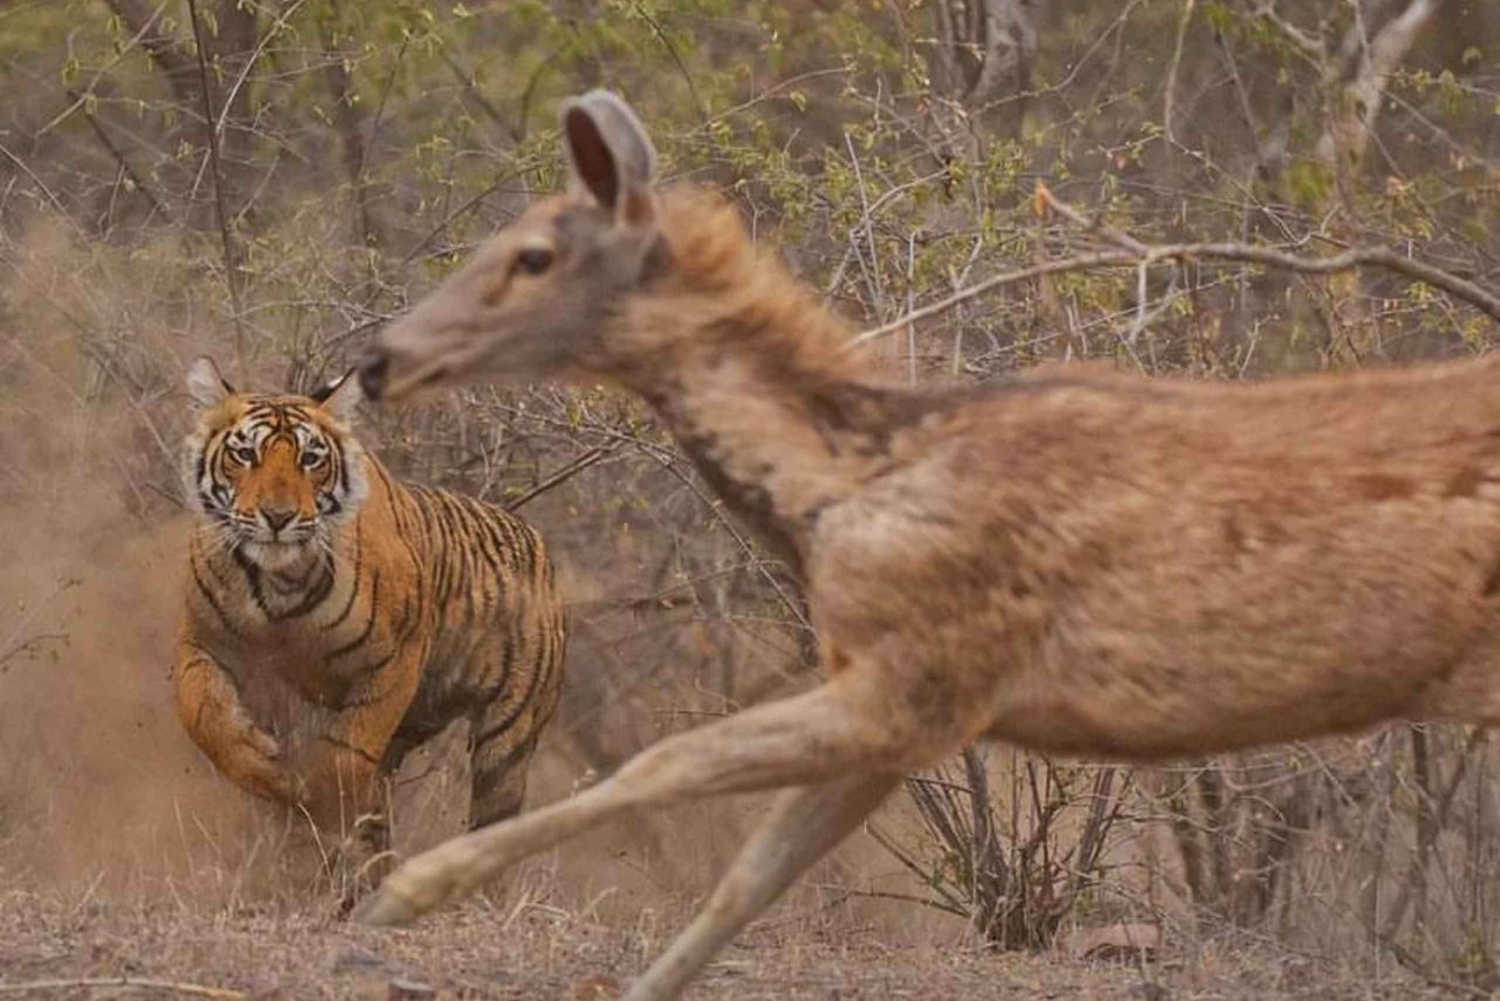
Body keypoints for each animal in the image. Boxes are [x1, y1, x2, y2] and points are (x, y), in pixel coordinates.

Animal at [174, 356, 566, 858]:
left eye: (310, 459)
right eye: (244, 455)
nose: (278, 517)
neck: (279, 583)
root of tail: (536, 540)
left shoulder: (396, 660)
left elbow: (348, 751)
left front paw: (318, 806)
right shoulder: (203, 640)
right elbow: (204, 715)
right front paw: (266, 765)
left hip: (508, 742)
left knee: (492, 816)